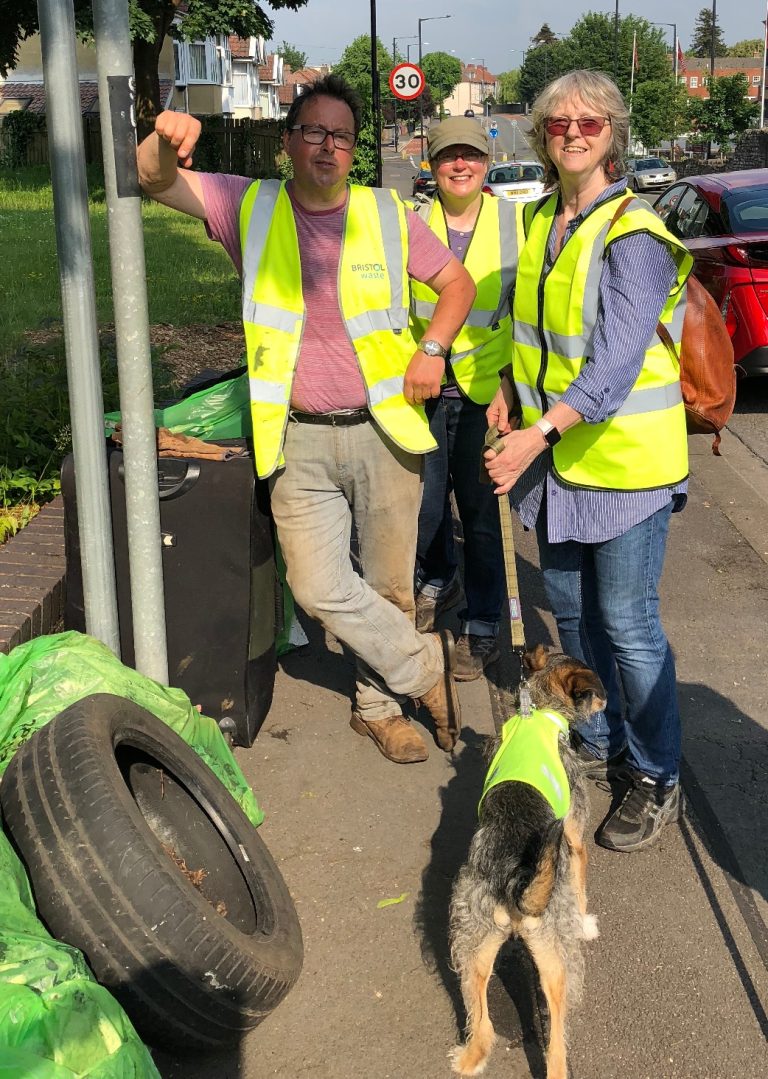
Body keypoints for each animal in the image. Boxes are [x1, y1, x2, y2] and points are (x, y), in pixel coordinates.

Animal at [450, 643, 604, 1074]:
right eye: (594, 689)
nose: (606, 702)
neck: (538, 708)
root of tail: (514, 883)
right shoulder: (576, 837)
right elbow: (581, 886)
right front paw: (586, 922)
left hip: (472, 940)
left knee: (481, 1020)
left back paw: (469, 1059)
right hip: (557, 958)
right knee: (556, 1043)